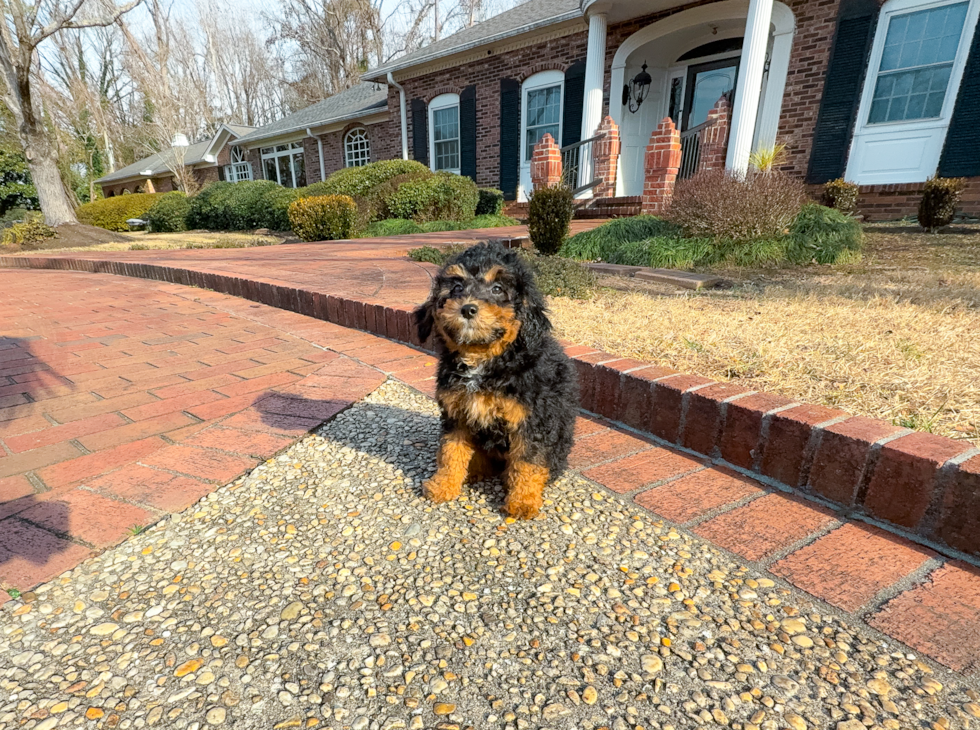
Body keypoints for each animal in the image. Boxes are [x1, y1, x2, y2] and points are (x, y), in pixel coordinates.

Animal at [412, 242, 576, 516]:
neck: (483, 361)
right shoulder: (456, 415)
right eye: (457, 287)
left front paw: (523, 501)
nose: (467, 308)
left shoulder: (531, 420)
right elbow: (450, 452)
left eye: (497, 289)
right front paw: (443, 486)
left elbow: (528, 462)